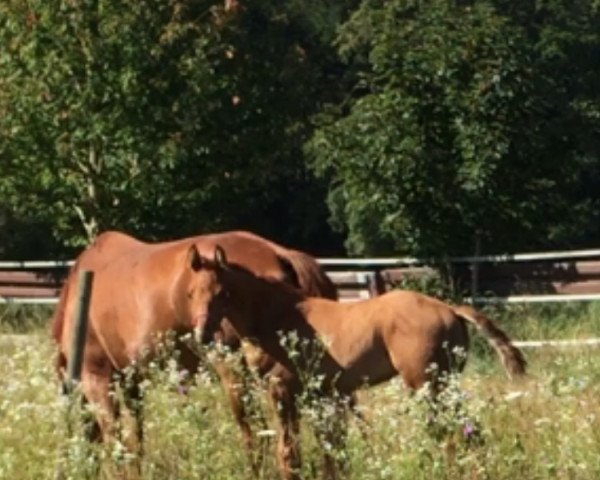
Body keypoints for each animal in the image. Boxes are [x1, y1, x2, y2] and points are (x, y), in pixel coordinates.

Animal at [51, 231, 338, 466]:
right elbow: (135, 443)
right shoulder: (131, 381)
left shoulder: (97, 377)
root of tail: (280, 253)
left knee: (258, 438)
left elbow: (116, 443)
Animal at [196, 248, 524, 480]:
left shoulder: (282, 392)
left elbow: (289, 453)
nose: (202, 335)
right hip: (444, 385)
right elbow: (331, 450)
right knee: (469, 431)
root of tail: (450, 309)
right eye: (192, 293)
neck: (277, 317)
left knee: (450, 434)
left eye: (221, 293)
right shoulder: (320, 395)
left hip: (427, 385)